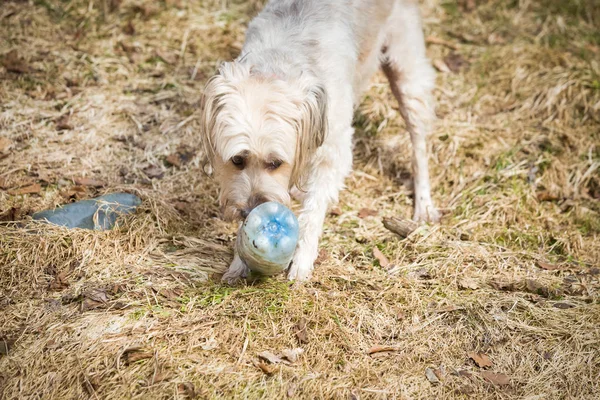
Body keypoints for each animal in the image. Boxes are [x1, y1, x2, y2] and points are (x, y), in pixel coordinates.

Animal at [202, 0, 440, 282]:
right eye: (237, 160)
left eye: (276, 163)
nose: (250, 211)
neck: (277, 66)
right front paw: (240, 260)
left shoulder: (333, 150)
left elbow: (314, 210)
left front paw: (302, 260)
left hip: (407, 72)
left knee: (419, 144)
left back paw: (423, 202)